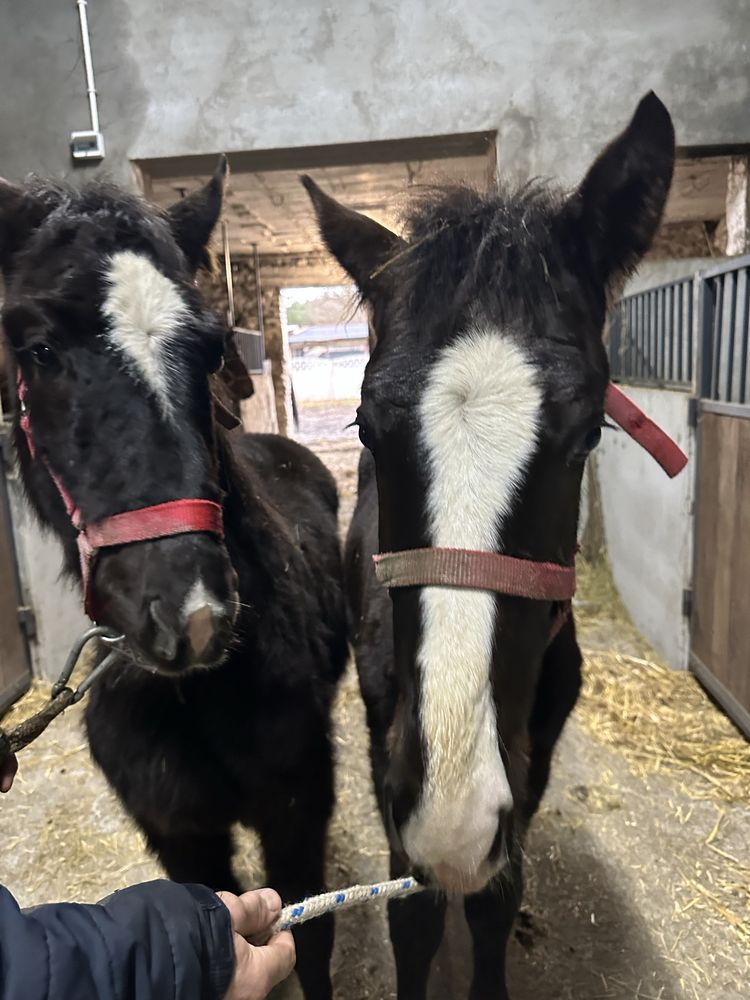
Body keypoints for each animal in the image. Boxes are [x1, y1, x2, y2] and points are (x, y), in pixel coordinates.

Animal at [0, 164, 350, 1000]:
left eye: (211, 345)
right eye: (37, 348)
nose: (191, 614)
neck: (197, 697)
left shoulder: (298, 816)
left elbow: (312, 943)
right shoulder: (181, 835)